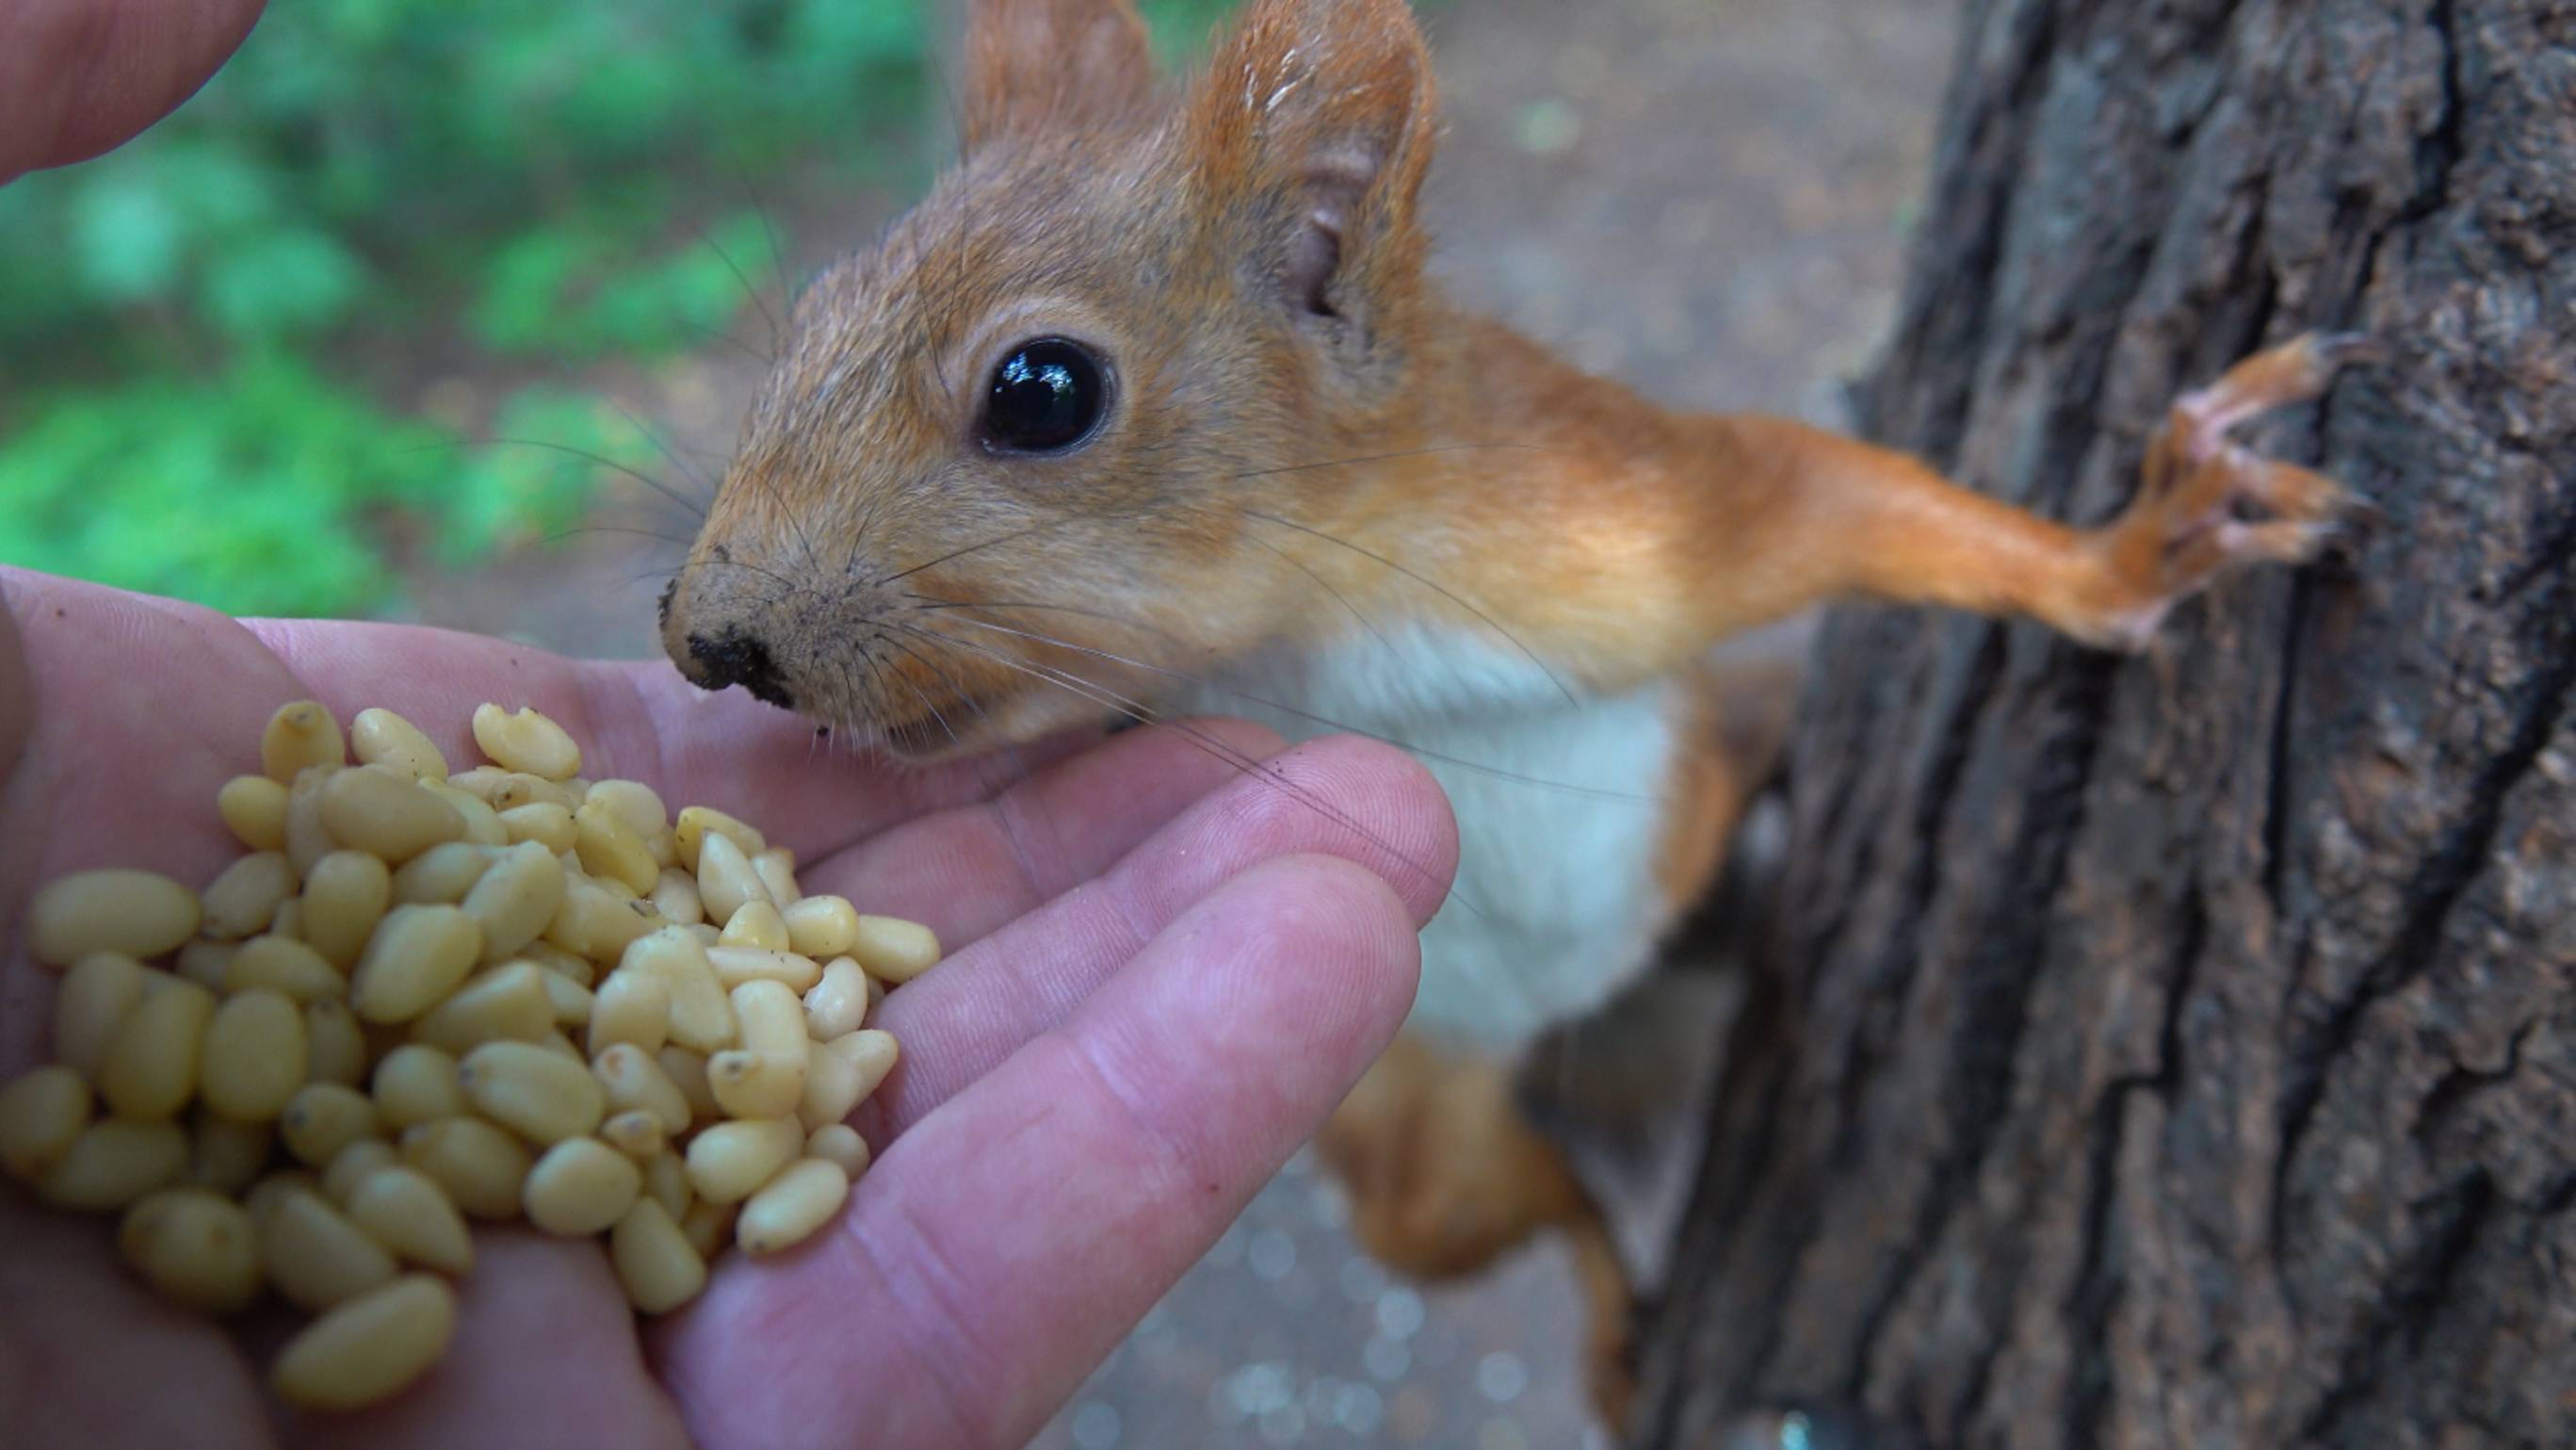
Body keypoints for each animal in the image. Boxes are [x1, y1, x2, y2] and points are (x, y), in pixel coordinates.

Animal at [657, 0, 2375, 1426]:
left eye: (1042, 390)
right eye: (812, 311)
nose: (710, 640)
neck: (1302, 634)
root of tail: (1618, 1022)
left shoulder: (1620, 518)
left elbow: (1835, 498)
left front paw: (2135, 547)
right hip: (1426, 1131)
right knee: (1535, 1203)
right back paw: (1621, 1320)